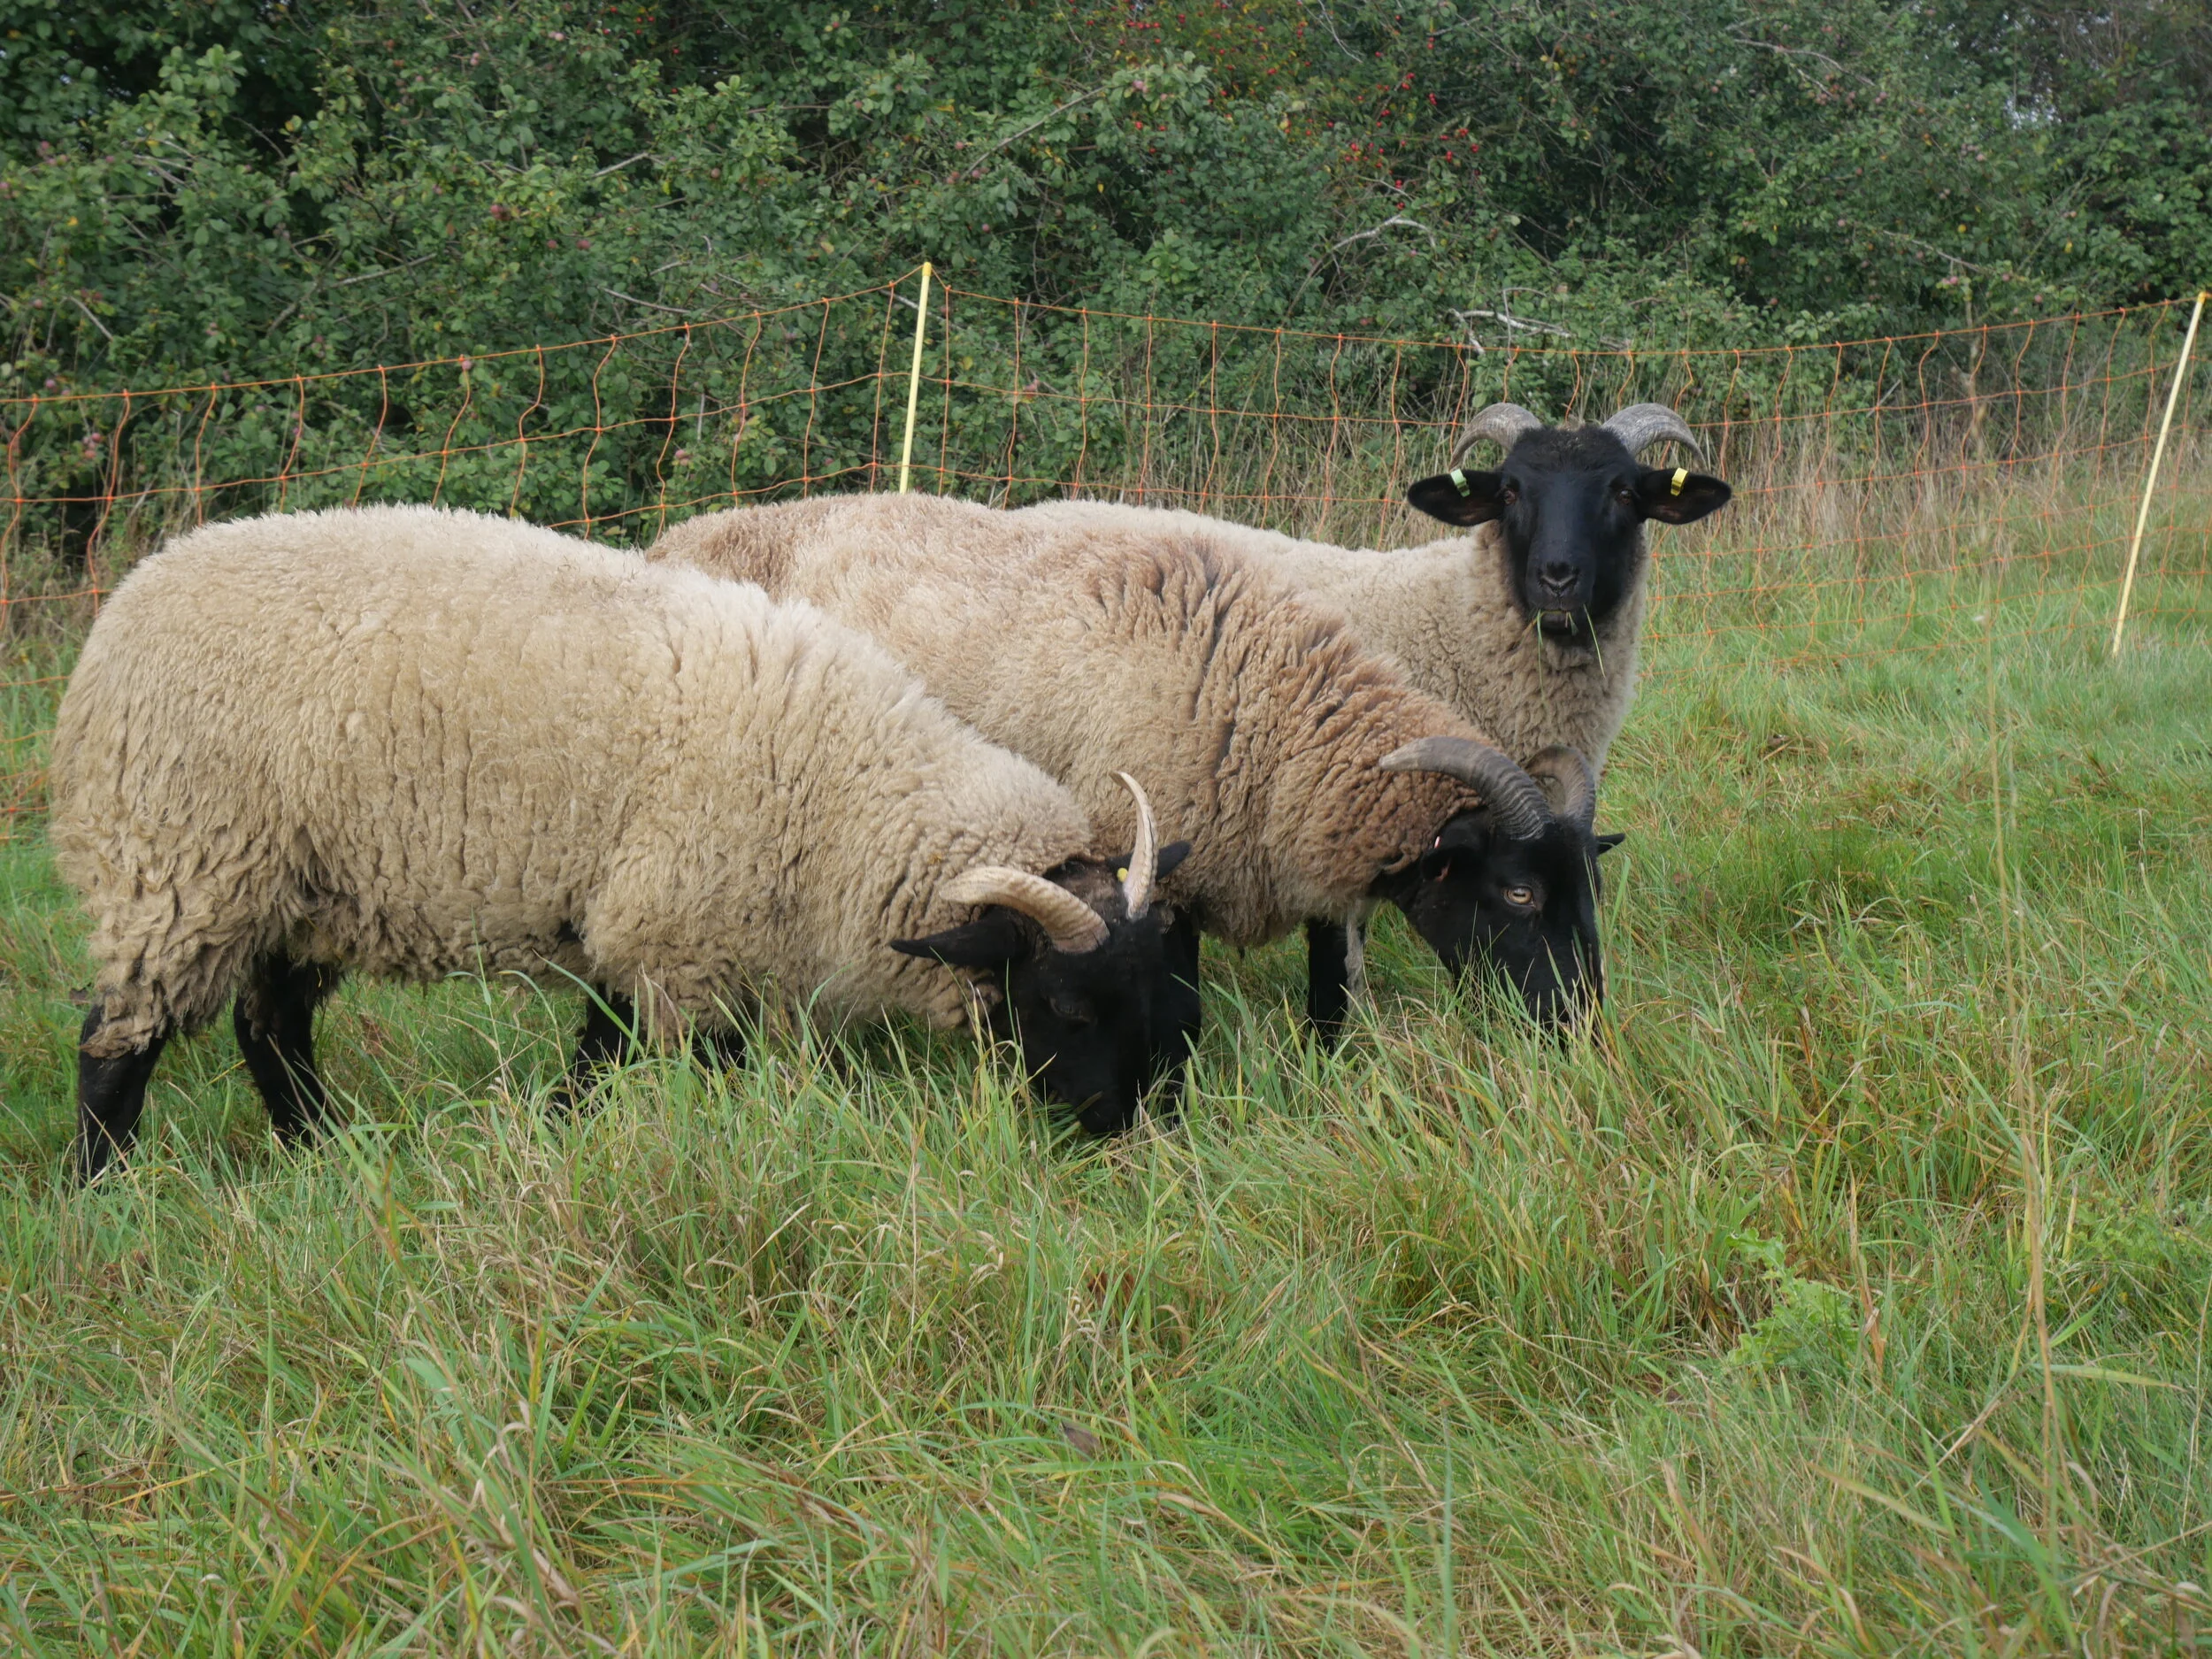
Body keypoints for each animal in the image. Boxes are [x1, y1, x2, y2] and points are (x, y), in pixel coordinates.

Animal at [51, 504, 1188, 1178]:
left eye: (1158, 991)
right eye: (1067, 1006)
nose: (1121, 1131)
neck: (845, 789)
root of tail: (133, 597)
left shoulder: (634, 930)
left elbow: (595, 1056)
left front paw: (559, 1137)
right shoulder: (679, 937)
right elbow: (675, 1069)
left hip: (297, 885)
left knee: (271, 1027)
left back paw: (322, 1151)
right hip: (182, 862)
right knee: (119, 1041)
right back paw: (108, 1188)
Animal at [646, 493, 1618, 1071]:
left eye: (1588, 892)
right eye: (1520, 893)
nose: (1583, 1029)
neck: (1255, 702)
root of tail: (675, 536)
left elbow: (1330, 993)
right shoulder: (1151, 867)